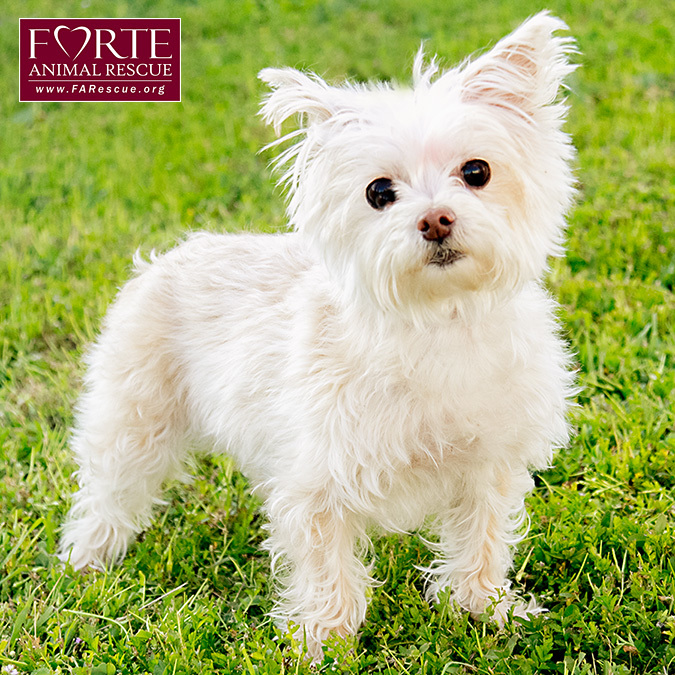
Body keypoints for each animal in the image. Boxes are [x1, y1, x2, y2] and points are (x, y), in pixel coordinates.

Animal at [59, 13, 576, 664]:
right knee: (109, 491)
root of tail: (172, 254)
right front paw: (325, 642)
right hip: (133, 417)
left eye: (476, 171)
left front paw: (484, 609)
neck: (436, 321)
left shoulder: (489, 464)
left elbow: (480, 540)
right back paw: (87, 559)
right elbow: (328, 567)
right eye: (379, 192)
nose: (435, 220)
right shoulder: (318, 482)